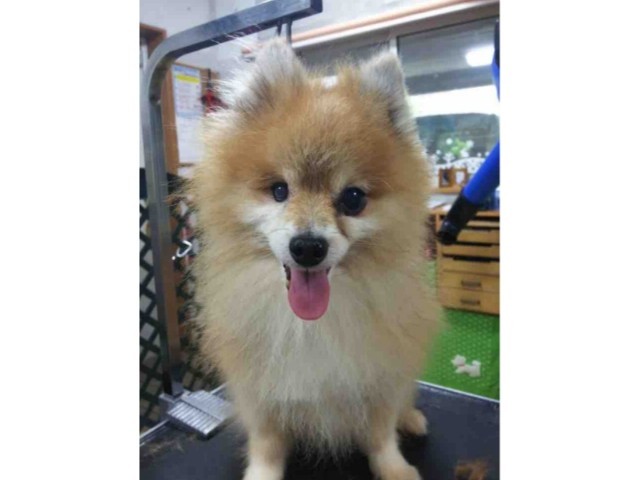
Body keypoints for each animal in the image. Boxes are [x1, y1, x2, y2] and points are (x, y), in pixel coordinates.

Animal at [191, 39, 439, 480]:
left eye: (353, 198)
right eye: (278, 190)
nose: (307, 246)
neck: (310, 325)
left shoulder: (379, 374)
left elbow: (380, 433)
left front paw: (394, 468)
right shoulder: (260, 389)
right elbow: (268, 444)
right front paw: (261, 474)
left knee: (403, 402)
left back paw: (410, 418)